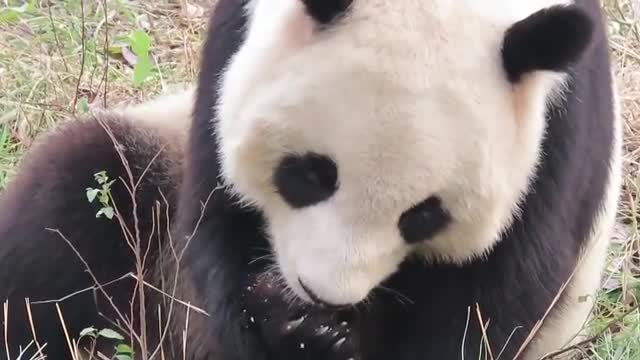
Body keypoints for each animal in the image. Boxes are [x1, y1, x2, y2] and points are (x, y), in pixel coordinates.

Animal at [0, 0, 624, 360]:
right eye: (309, 175)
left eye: (425, 215)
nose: (323, 295)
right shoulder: (232, 44)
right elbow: (216, 218)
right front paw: (292, 325)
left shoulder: (557, 129)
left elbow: (488, 299)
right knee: (70, 206)